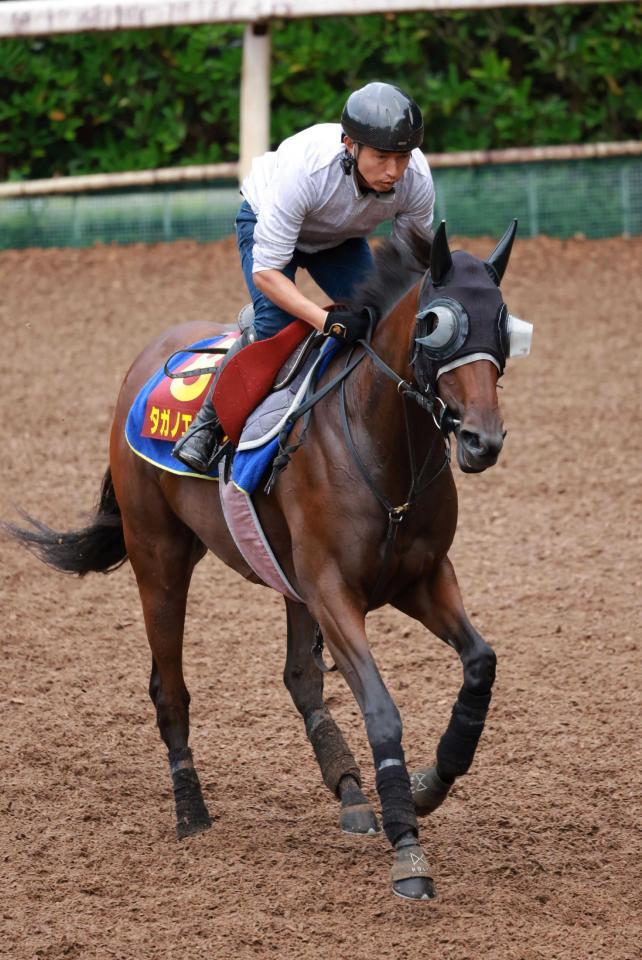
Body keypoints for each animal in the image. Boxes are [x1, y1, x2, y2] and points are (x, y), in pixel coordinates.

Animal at [6, 218, 528, 900]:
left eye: (502, 322)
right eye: (435, 324)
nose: (481, 440)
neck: (382, 441)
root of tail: (143, 364)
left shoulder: (420, 577)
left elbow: (480, 664)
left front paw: (429, 783)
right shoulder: (334, 591)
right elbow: (382, 710)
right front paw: (408, 847)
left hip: (286, 577)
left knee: (300, 676)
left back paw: (350, 790)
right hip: (159, 557)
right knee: (169, 689)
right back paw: (191, 812)